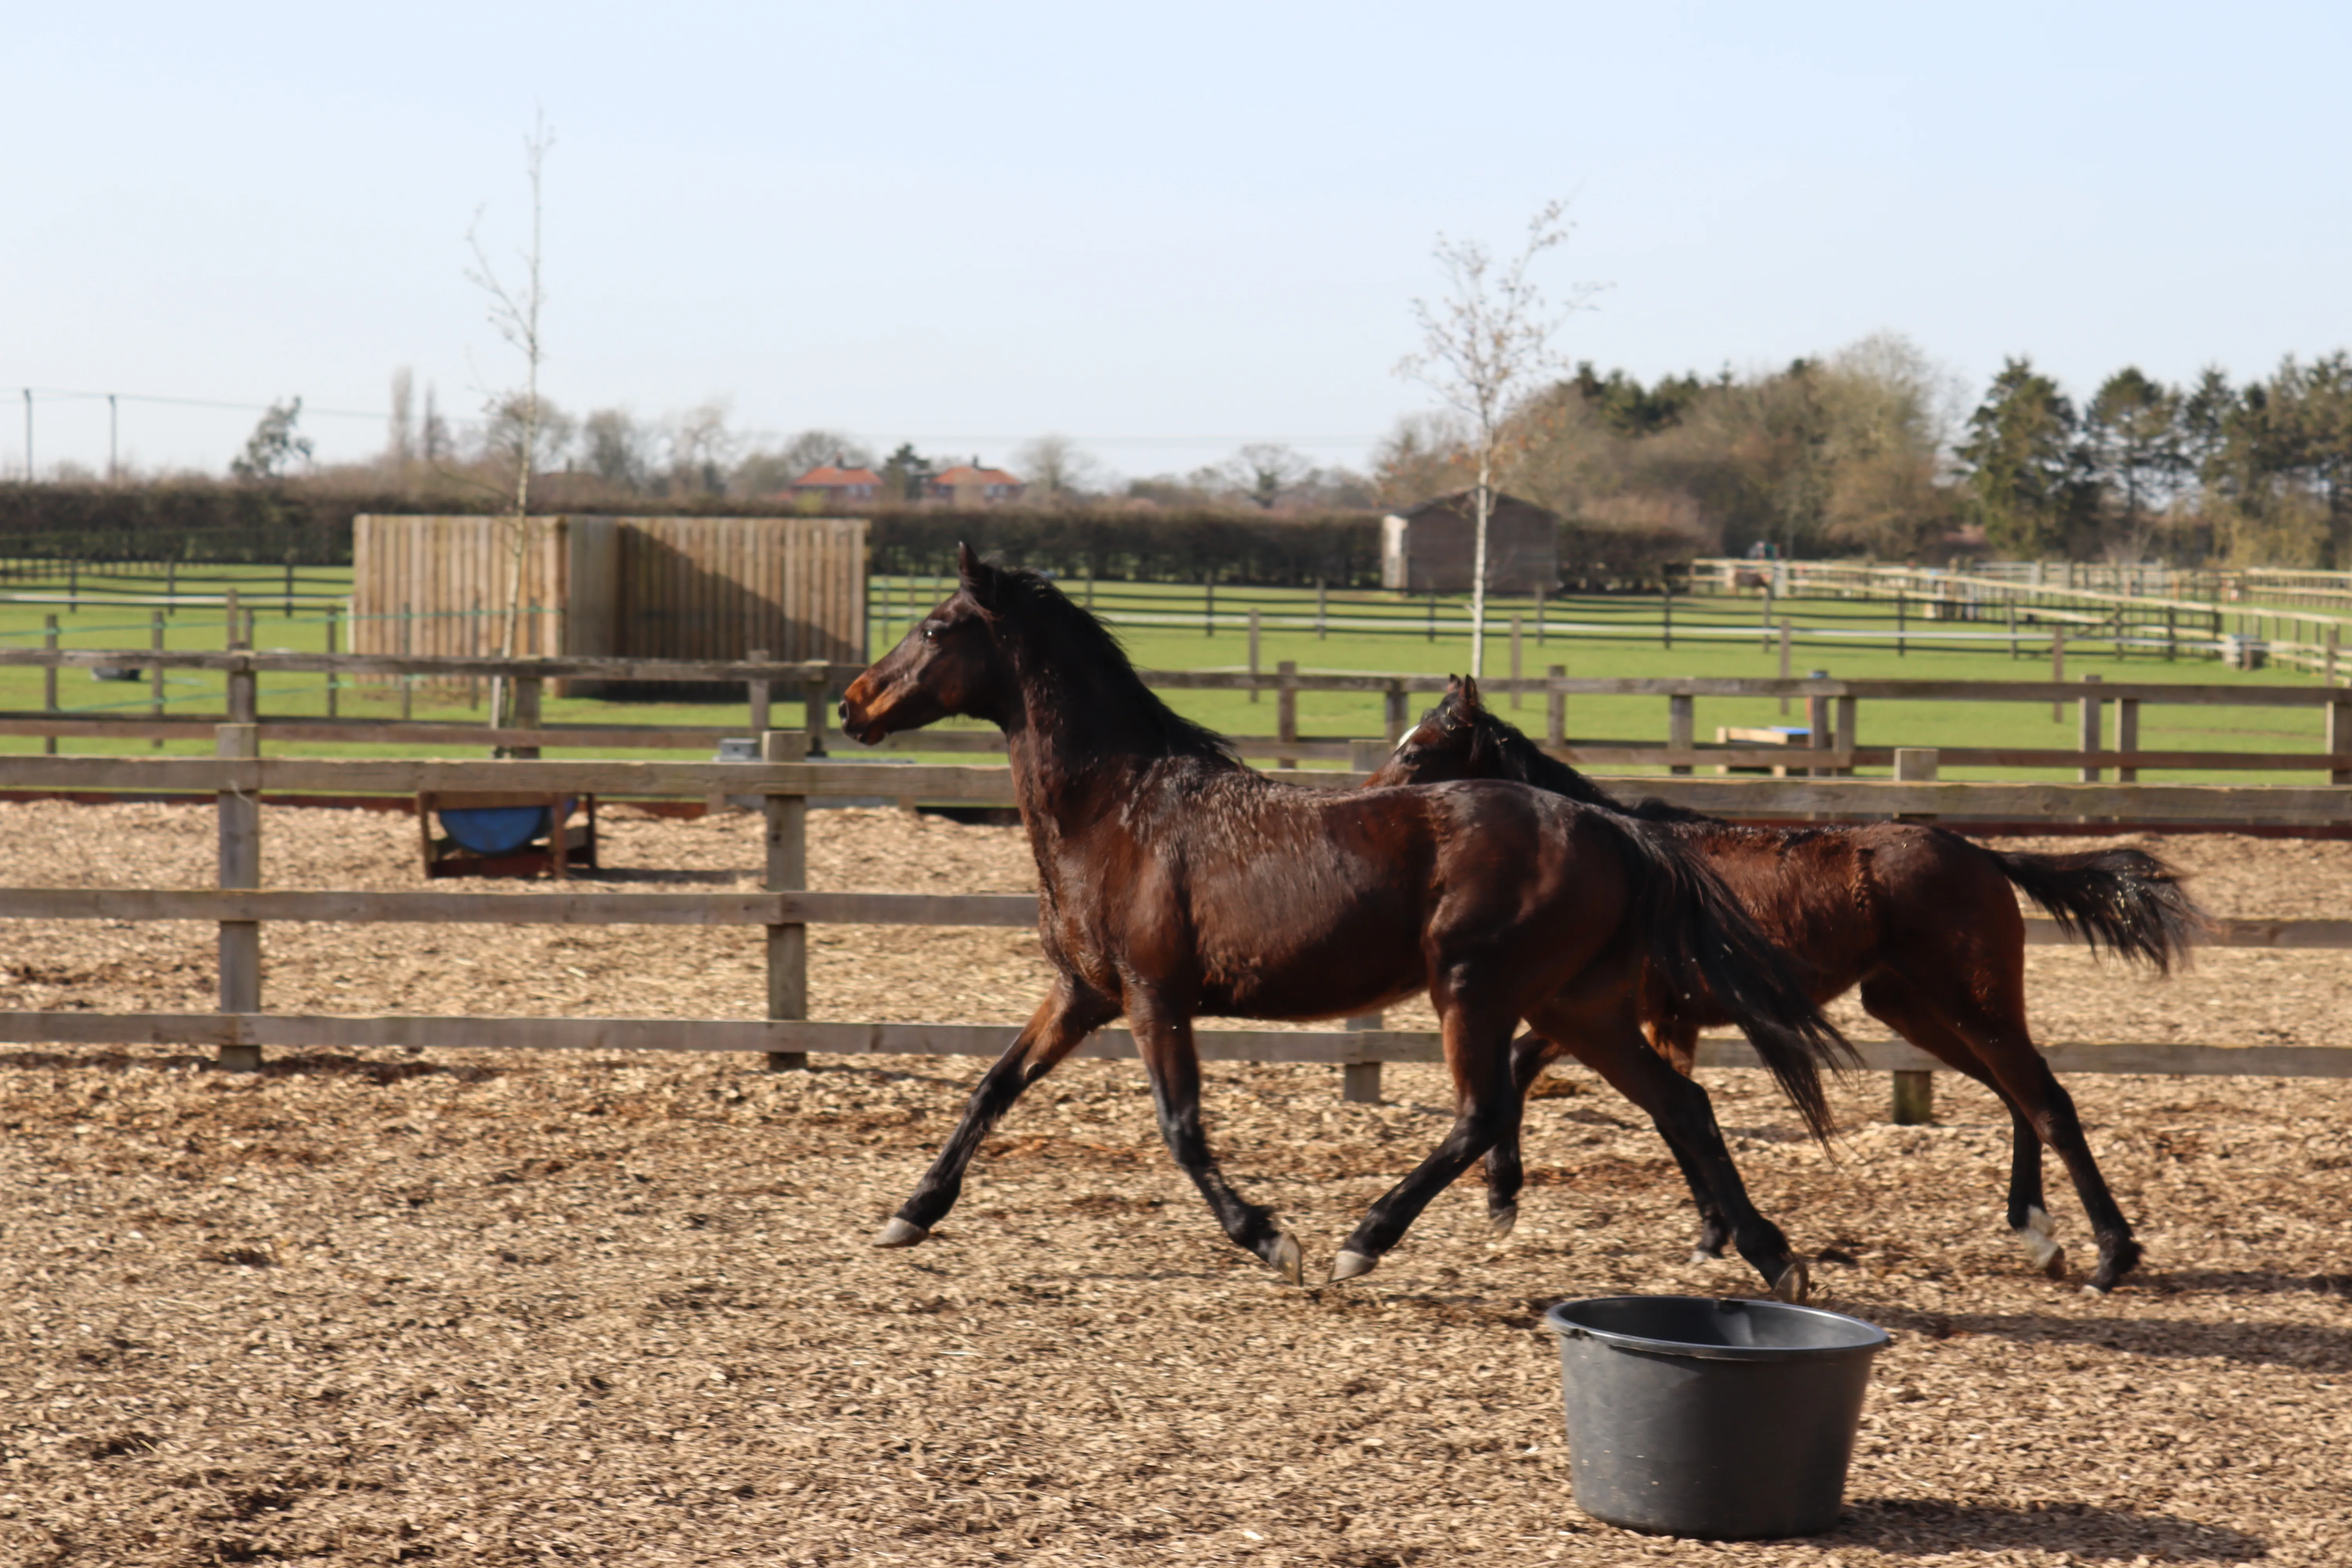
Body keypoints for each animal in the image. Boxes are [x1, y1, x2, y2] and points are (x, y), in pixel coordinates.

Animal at [838, 546, 1852, 1295]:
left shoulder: (1153, 996)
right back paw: (1773, 1256)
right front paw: (912, 1211)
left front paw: (1269, 1238)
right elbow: (992, 1087)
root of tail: (1612, 827)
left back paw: (1364, 1238)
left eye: (936, 627)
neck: (1121, 809)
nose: (854, 702)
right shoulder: (1083, 993)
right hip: (1576, 1006)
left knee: (1486, 1113)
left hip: (1475, 990)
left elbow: (1181, 1127)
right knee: (1680, 1103)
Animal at [1368, 677, 2210, 1292]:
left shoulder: (1622, 1014)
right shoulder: (1624, 1016)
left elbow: (1650, 1105)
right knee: (2018, 1098)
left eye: (1421, 750)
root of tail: (1979, 853)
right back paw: (2037, 1232)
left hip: (1975, 1002)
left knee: (2048, 1101)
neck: (1627, 862)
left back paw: (2111, 1255)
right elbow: (1648, 1104)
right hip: (1917, 1010)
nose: (1373, 798)